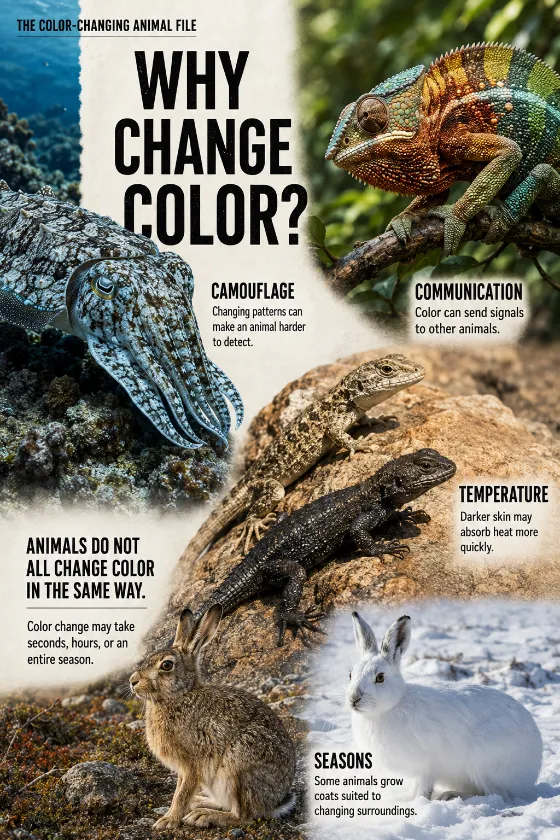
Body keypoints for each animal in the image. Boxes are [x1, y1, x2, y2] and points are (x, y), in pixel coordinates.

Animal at [129, 605, 296, 830]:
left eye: (166, 665)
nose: (133, 681)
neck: (180, 695)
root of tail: (275, 801)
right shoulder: (183, 769)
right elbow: (179, 790)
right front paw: (171, 815)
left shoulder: (192, 764)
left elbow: (181, 794)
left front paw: (167, 821)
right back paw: (200, 803)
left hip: (238, 766)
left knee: (243, 816)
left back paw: (203, 816)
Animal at [347, 612, 542, 802]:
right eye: (350, 674)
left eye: (380, 677)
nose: (353, 699)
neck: (392, 705)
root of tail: (531, 772)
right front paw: (406, 797)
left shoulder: (428, 764)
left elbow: (424, 786)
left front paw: (418, 801)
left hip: (483, 759)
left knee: (496, 795)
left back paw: (451, 795)